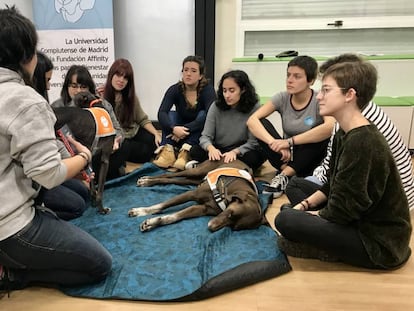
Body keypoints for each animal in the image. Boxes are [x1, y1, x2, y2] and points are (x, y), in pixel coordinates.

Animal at [127, 160, 268, 233]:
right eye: (230, 214)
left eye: (234, 227)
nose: (211, 227)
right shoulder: (191, 194)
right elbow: (162, 205)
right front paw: (141, 211)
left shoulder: (201, 209)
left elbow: (174, 217)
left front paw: (152, 223)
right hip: (196, 171)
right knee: (168, 175)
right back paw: (147, 181)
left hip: (193, 180)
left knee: (174, 179)